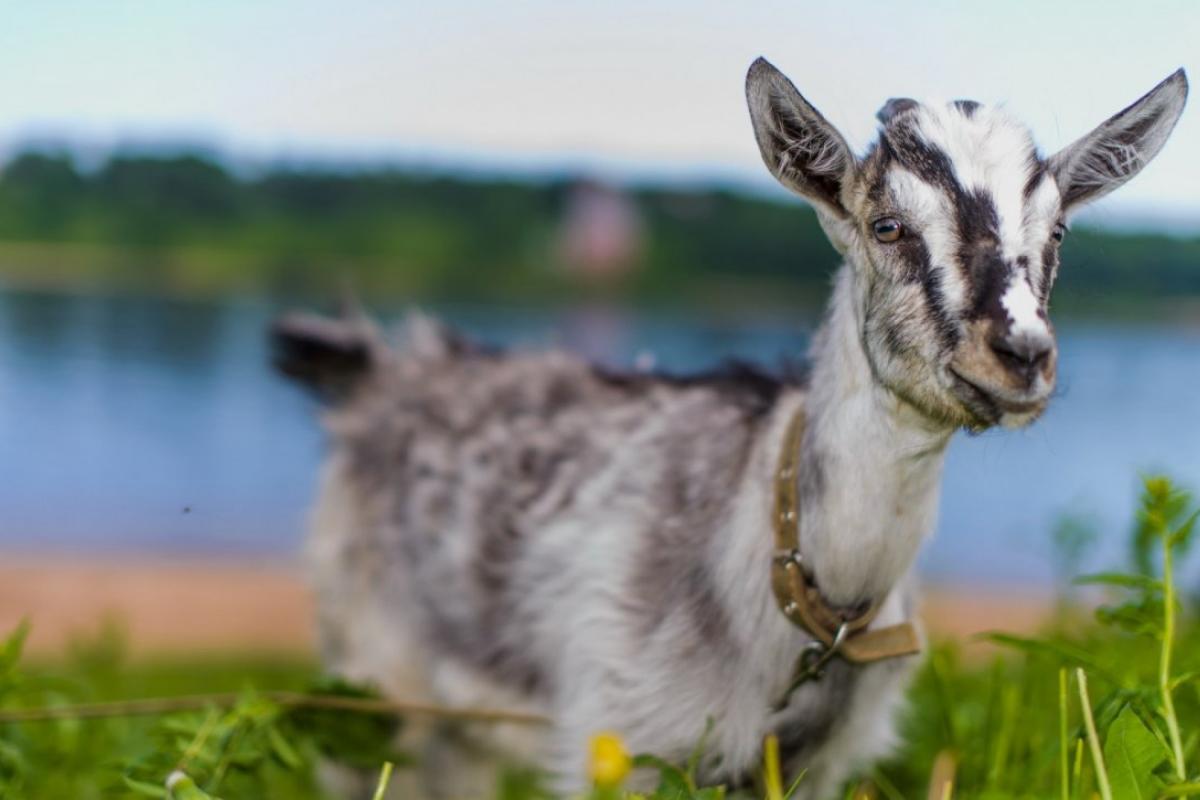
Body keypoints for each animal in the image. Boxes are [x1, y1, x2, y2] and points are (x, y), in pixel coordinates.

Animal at [276, 59, 1185, 796]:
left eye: (1057, 231)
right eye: (887, 226)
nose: (1021, 354)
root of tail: (383, 367)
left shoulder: (815, 768)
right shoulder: (621, 736)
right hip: (368, 673)